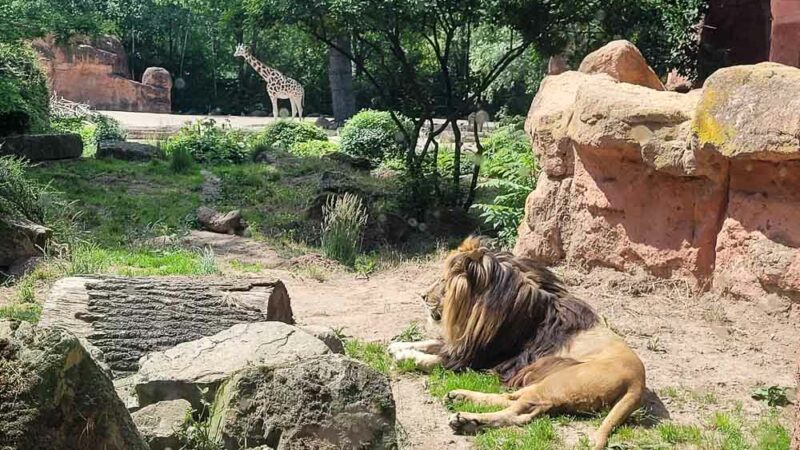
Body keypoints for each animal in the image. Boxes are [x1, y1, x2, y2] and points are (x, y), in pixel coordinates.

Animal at [390, 237, 648, 448]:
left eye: (443, 280)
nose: (422, 296)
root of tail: (638, 383)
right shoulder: (466, 345)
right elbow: (432, 342)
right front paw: (398, 346)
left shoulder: (479, 356)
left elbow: (434, 359)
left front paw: (405, 356)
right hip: (547, 382)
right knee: (517, 404)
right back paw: (460, 399)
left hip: (558, 382)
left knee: (517, 409)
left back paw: (466, 419)